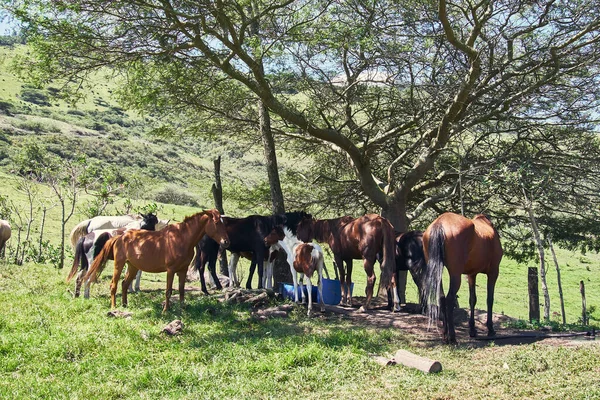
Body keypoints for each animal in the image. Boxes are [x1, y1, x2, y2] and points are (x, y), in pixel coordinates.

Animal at [85, 209, 231, 312]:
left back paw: (125, 304)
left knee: (125, 284)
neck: (181, 238)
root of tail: (120, 237)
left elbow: (181, 289)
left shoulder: (183, 270)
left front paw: (182, 308)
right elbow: (168, 291)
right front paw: (166, 310)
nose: (226, 242)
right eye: (216, 223)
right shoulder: (171, 270)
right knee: (114, 285)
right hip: (119, 265)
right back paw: (114, 307)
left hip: (132, 267)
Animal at [420, 212, 504, 344]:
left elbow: (472, 300)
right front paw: (490, 329)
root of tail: (440, 223)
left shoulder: (471, 275)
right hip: (455, 274)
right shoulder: (493, 272)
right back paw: (452, 337)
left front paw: (472, 330)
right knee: (449, 299)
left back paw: (445, 334)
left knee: (441, 298)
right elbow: (490, 300)